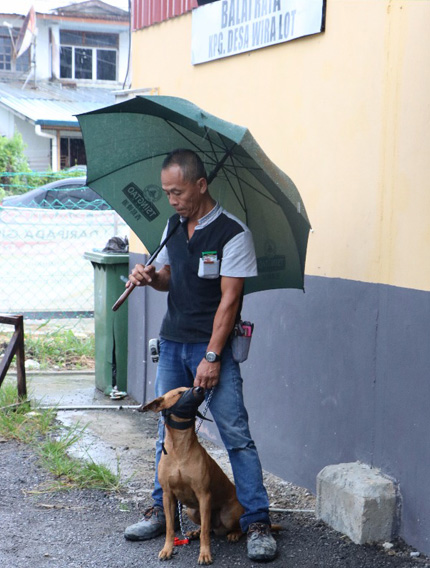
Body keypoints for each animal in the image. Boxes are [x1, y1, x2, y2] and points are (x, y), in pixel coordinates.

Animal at [139, 386, 244, 564]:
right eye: (179, 393)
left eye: (188, 387)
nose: (200, 388)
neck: (180, 449)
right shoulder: (168, 495)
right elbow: (169, 528)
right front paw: (167, 549)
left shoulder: (204, 495)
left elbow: (205, 534)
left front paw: (205, 554)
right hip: (191, 511)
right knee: (207, 527)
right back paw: (195, 532)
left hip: (227, 515)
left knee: (233, 526)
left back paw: (235, 534)